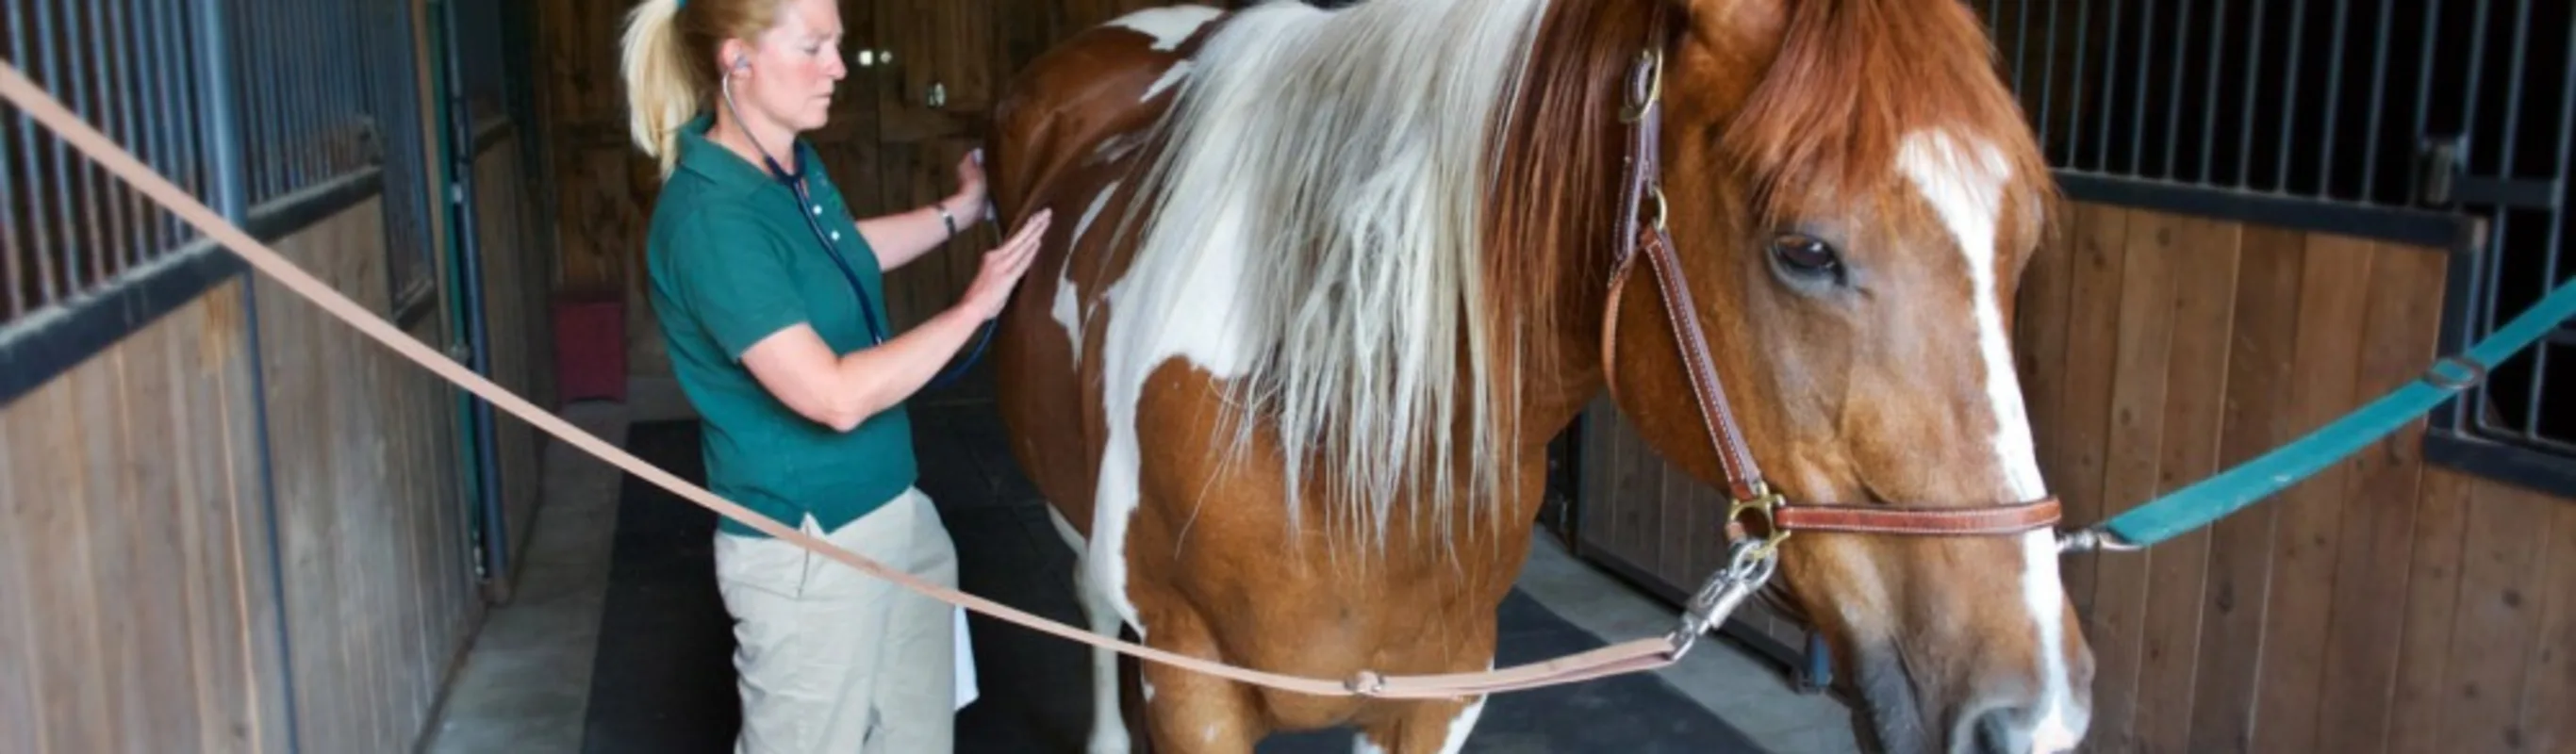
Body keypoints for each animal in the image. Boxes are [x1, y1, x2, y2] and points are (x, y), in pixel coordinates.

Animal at [983, 1, 2091, 751]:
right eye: (1805, 250)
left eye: (2023, 246)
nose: (2036, 714)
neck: (1313, 433)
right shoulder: (1192, 690)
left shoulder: (1439, 688)